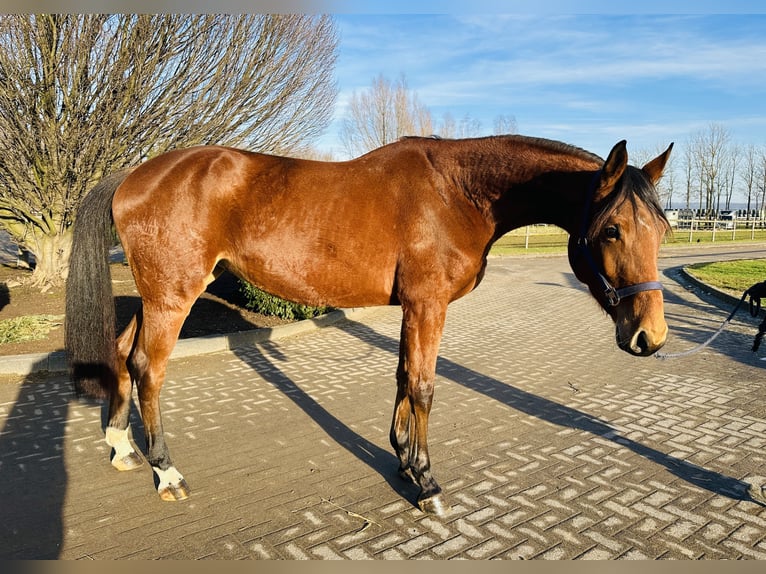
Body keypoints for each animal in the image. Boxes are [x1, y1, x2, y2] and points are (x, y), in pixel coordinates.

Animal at [67, 136, 680, 516]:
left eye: (663, 229)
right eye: (612, 230)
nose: (649, 337)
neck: (457, 191)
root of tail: (135, 174)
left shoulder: (412, 307)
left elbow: (404, 376)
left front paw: (403, 460)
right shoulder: (428, 305)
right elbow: (425, 385)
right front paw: (427, 483)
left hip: (158, 295)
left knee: (123, 354)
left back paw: (121, 446)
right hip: (173, 297)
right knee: (149, 369)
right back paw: (167, 473)